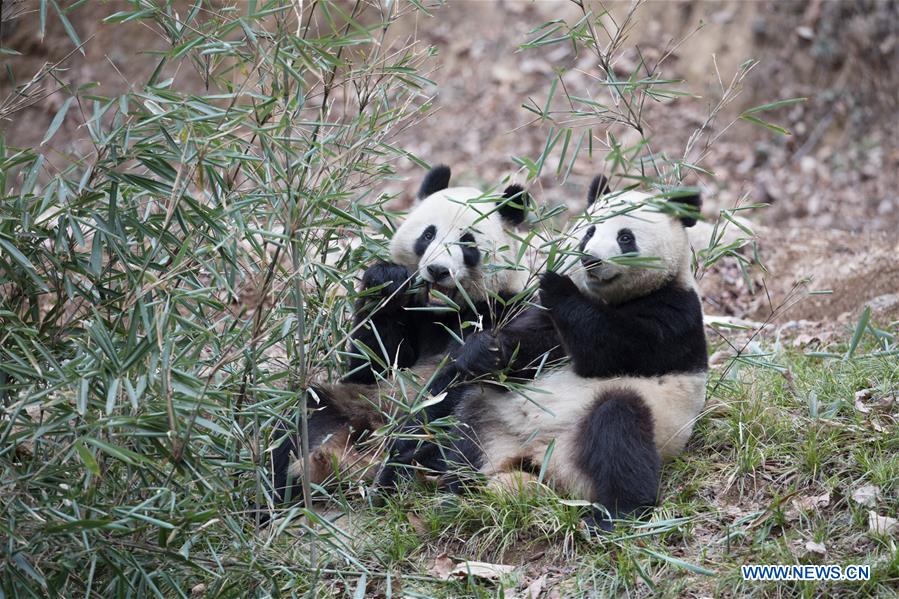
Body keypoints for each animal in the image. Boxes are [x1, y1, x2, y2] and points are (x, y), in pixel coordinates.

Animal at [268, 164, 540, 506]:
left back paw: (395, 476)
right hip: (353, 405)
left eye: (468, 243)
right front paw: (387, 279)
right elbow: (372, 363)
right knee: (301, 423)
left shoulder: (504, 308)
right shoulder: (411, 317)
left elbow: (468, 375)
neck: (445, 312)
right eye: (428, 234)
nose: (438, 270)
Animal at [380, 177, 712, 528]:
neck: (609, 298)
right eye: (589, 231)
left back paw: (616, 516)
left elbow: (612, 348)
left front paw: (555, 282)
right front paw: (483, 351)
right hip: (493, 422)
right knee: (464, 428)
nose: (590, 259)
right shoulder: (544, 322)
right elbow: (529, 349)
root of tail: (539, 462)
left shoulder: (675, 314)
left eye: (625, 237)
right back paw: (450, 490)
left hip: (620, 430)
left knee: (620, 432)